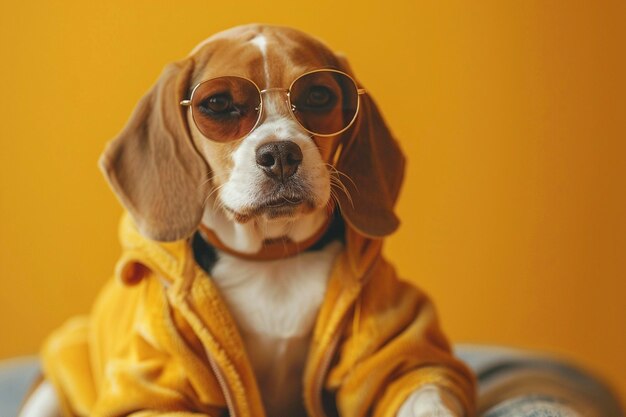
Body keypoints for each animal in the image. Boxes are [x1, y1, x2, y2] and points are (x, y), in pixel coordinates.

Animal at [23, 25, 472, 416]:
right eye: (218, 105)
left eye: (318, 96)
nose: (281, 155)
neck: (270, 258)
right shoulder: (156, 389)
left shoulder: (401, 359)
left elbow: (424, 392)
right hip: (48, 393)